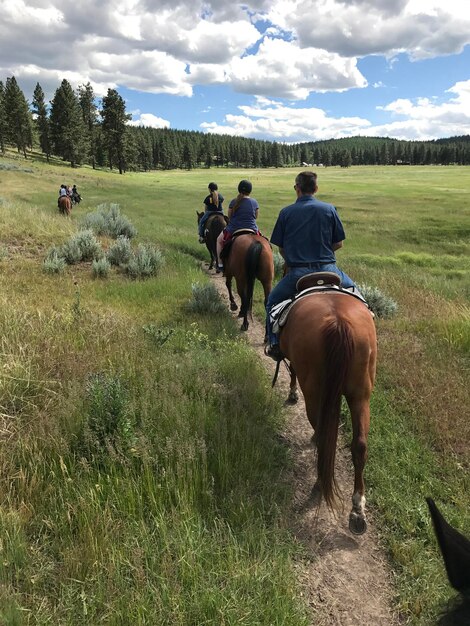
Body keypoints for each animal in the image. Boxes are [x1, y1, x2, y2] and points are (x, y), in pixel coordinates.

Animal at [280, 288, 378, 532]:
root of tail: (339, 321)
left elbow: (292, 371)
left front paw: (292, 393)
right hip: (360, 396)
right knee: (360, 445)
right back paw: (357, 511)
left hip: (316, 394)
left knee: (324, 439)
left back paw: (319, 484)